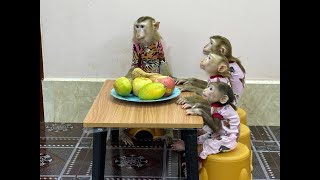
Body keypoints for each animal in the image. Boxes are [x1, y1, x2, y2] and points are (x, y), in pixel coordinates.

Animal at [120, 15, 174, 146]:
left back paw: (168, 135)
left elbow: (162, 61)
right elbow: (134, 65)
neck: (147, 42)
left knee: (163, 63)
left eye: (142, 26)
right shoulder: (135, 46)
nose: (138, 33)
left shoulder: (159, 45)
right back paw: (123, 134)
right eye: (137, 26)